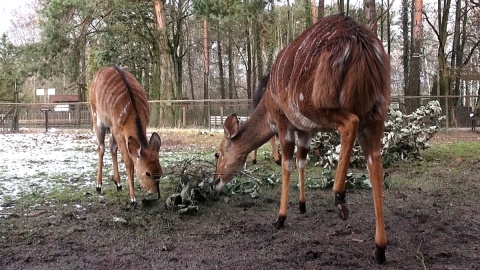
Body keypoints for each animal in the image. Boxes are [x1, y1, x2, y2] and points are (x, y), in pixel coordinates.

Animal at [86, 66, 161, 204]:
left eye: (160, 171)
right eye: (147, 173)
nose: (155, 193)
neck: (132, 111)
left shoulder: (118, 129)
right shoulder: (118, 130)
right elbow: (128, 160)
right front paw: (133, 198)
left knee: (111, 147)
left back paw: (118, 184)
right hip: (96, 116)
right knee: (101, 148)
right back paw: (98, 186)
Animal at [213, 13, 390, 262]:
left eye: (217, 153)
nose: (214, 183)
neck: (267, 105)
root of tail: (361, 44)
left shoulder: (284, 122)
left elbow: (287, 163)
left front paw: (280, 218)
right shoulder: (306, 130)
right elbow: (301, 160)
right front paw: (302, 205)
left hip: (317, 104)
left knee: (350, 123)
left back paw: (339, 198)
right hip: (376, 112)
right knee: (375, 163)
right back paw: (380, 248)